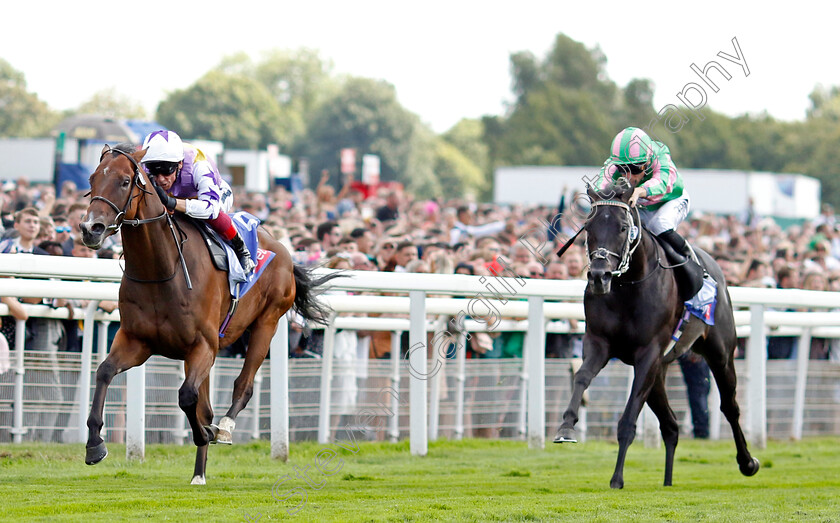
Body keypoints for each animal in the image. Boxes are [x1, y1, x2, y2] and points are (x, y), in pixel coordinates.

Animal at [79, 142, 338, 484]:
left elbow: (188, 397)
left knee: (243, 385)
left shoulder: (203, 344)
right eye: (93, 179)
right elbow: (105, 372)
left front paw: (206, 433)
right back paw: (198, 473)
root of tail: (282, 248)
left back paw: (223, 429)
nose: (90, 228)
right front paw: (94, 444)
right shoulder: (137, 341)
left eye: (124, 181)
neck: (162, 270)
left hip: (266, 323)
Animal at [556, 178, 756, 490]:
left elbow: (628, 420)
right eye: (588, 227)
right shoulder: (599, 343)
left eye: (622, 227)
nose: (599, 277)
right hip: (660, 371)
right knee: (671, 424)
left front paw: (617, 478)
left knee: (730, 407)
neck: (628, 285)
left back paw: (747, 462)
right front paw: (566, 426)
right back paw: (668, 480)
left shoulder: (648, 354)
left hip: (720, 354)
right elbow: (581, 377)